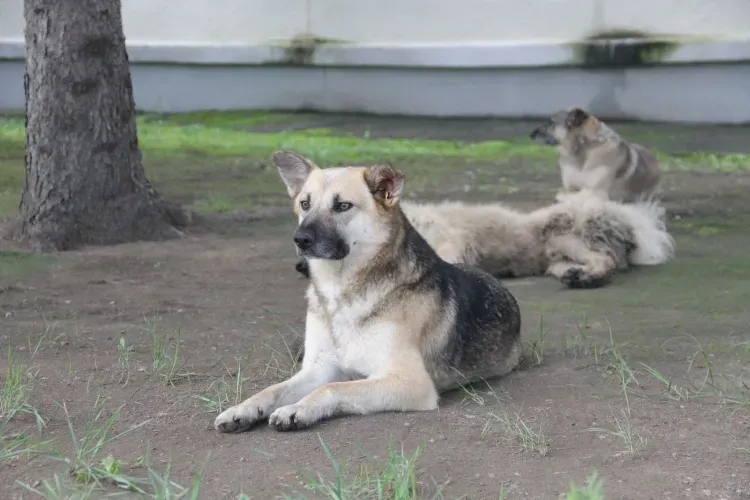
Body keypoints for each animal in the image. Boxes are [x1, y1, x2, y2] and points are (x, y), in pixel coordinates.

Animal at [213, 150, 524, 432]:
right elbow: (273, 389)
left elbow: (333, 388)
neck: (340, 291)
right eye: (304, 203)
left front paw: (297, 409)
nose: (300, 239)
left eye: (342, 206)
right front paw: (243, 409)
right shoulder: (319, 367)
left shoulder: (409, 381)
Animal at [532, 107, 660, 203]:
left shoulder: (597, 193)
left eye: (551, 123)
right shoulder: (571, 188)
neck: (583, 147)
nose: (531, 134)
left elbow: (571, 195)